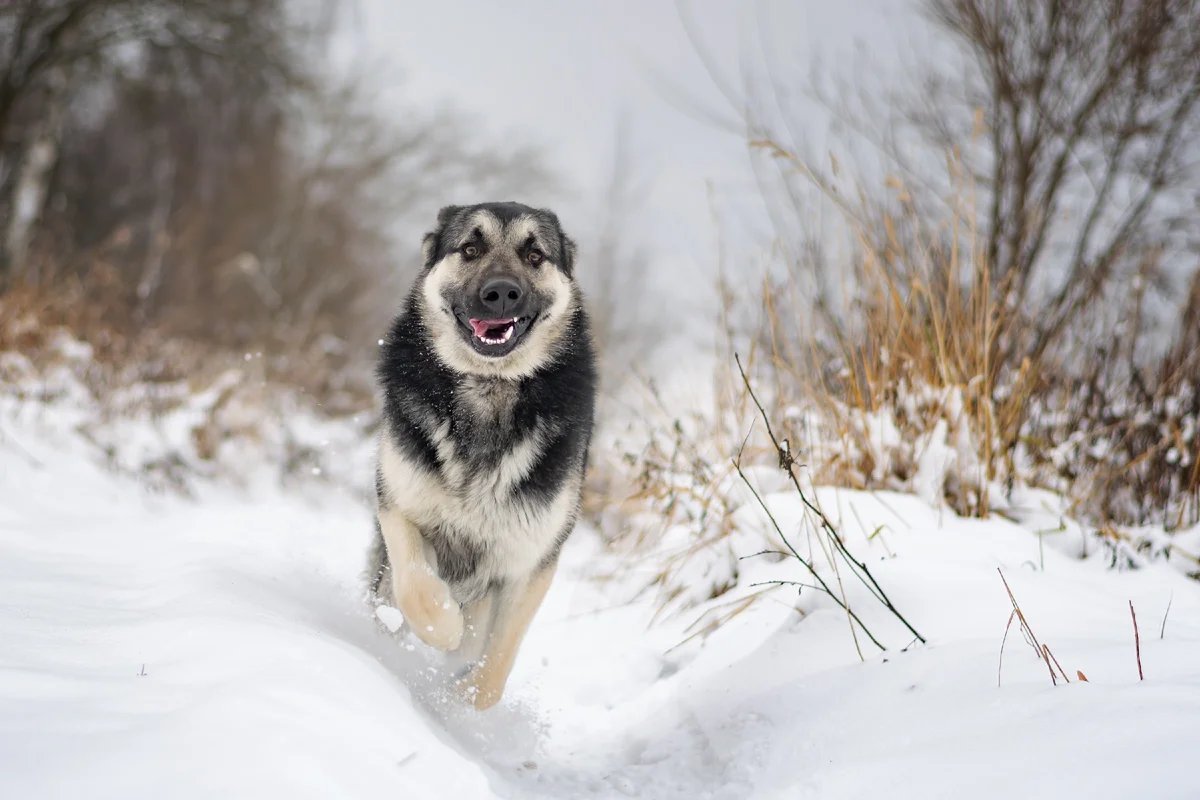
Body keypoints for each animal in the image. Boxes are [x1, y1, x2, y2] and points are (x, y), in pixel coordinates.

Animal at [362, 203, 592, 710]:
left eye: (534, 255)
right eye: (470, 248)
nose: (502, 293)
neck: (489, 387)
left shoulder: (530, 563)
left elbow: (494, 668)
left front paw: (462, 704)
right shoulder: (399, 507)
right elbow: (418, 589)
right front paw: (442, 625)